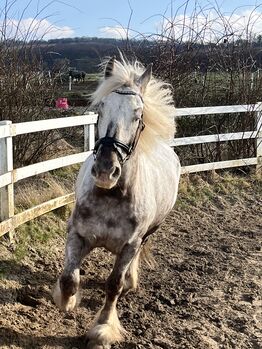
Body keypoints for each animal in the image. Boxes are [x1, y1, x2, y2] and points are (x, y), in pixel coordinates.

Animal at [53, 55, 180, 346]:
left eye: (138, 115)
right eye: (101, 108)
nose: (105, 170)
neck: (111, 197)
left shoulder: (129, 245)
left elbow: (113, 285)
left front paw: (102, 330)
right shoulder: (77, 234)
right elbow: (69, 278)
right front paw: (66, 301)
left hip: (148, 234)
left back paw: (131, 280)